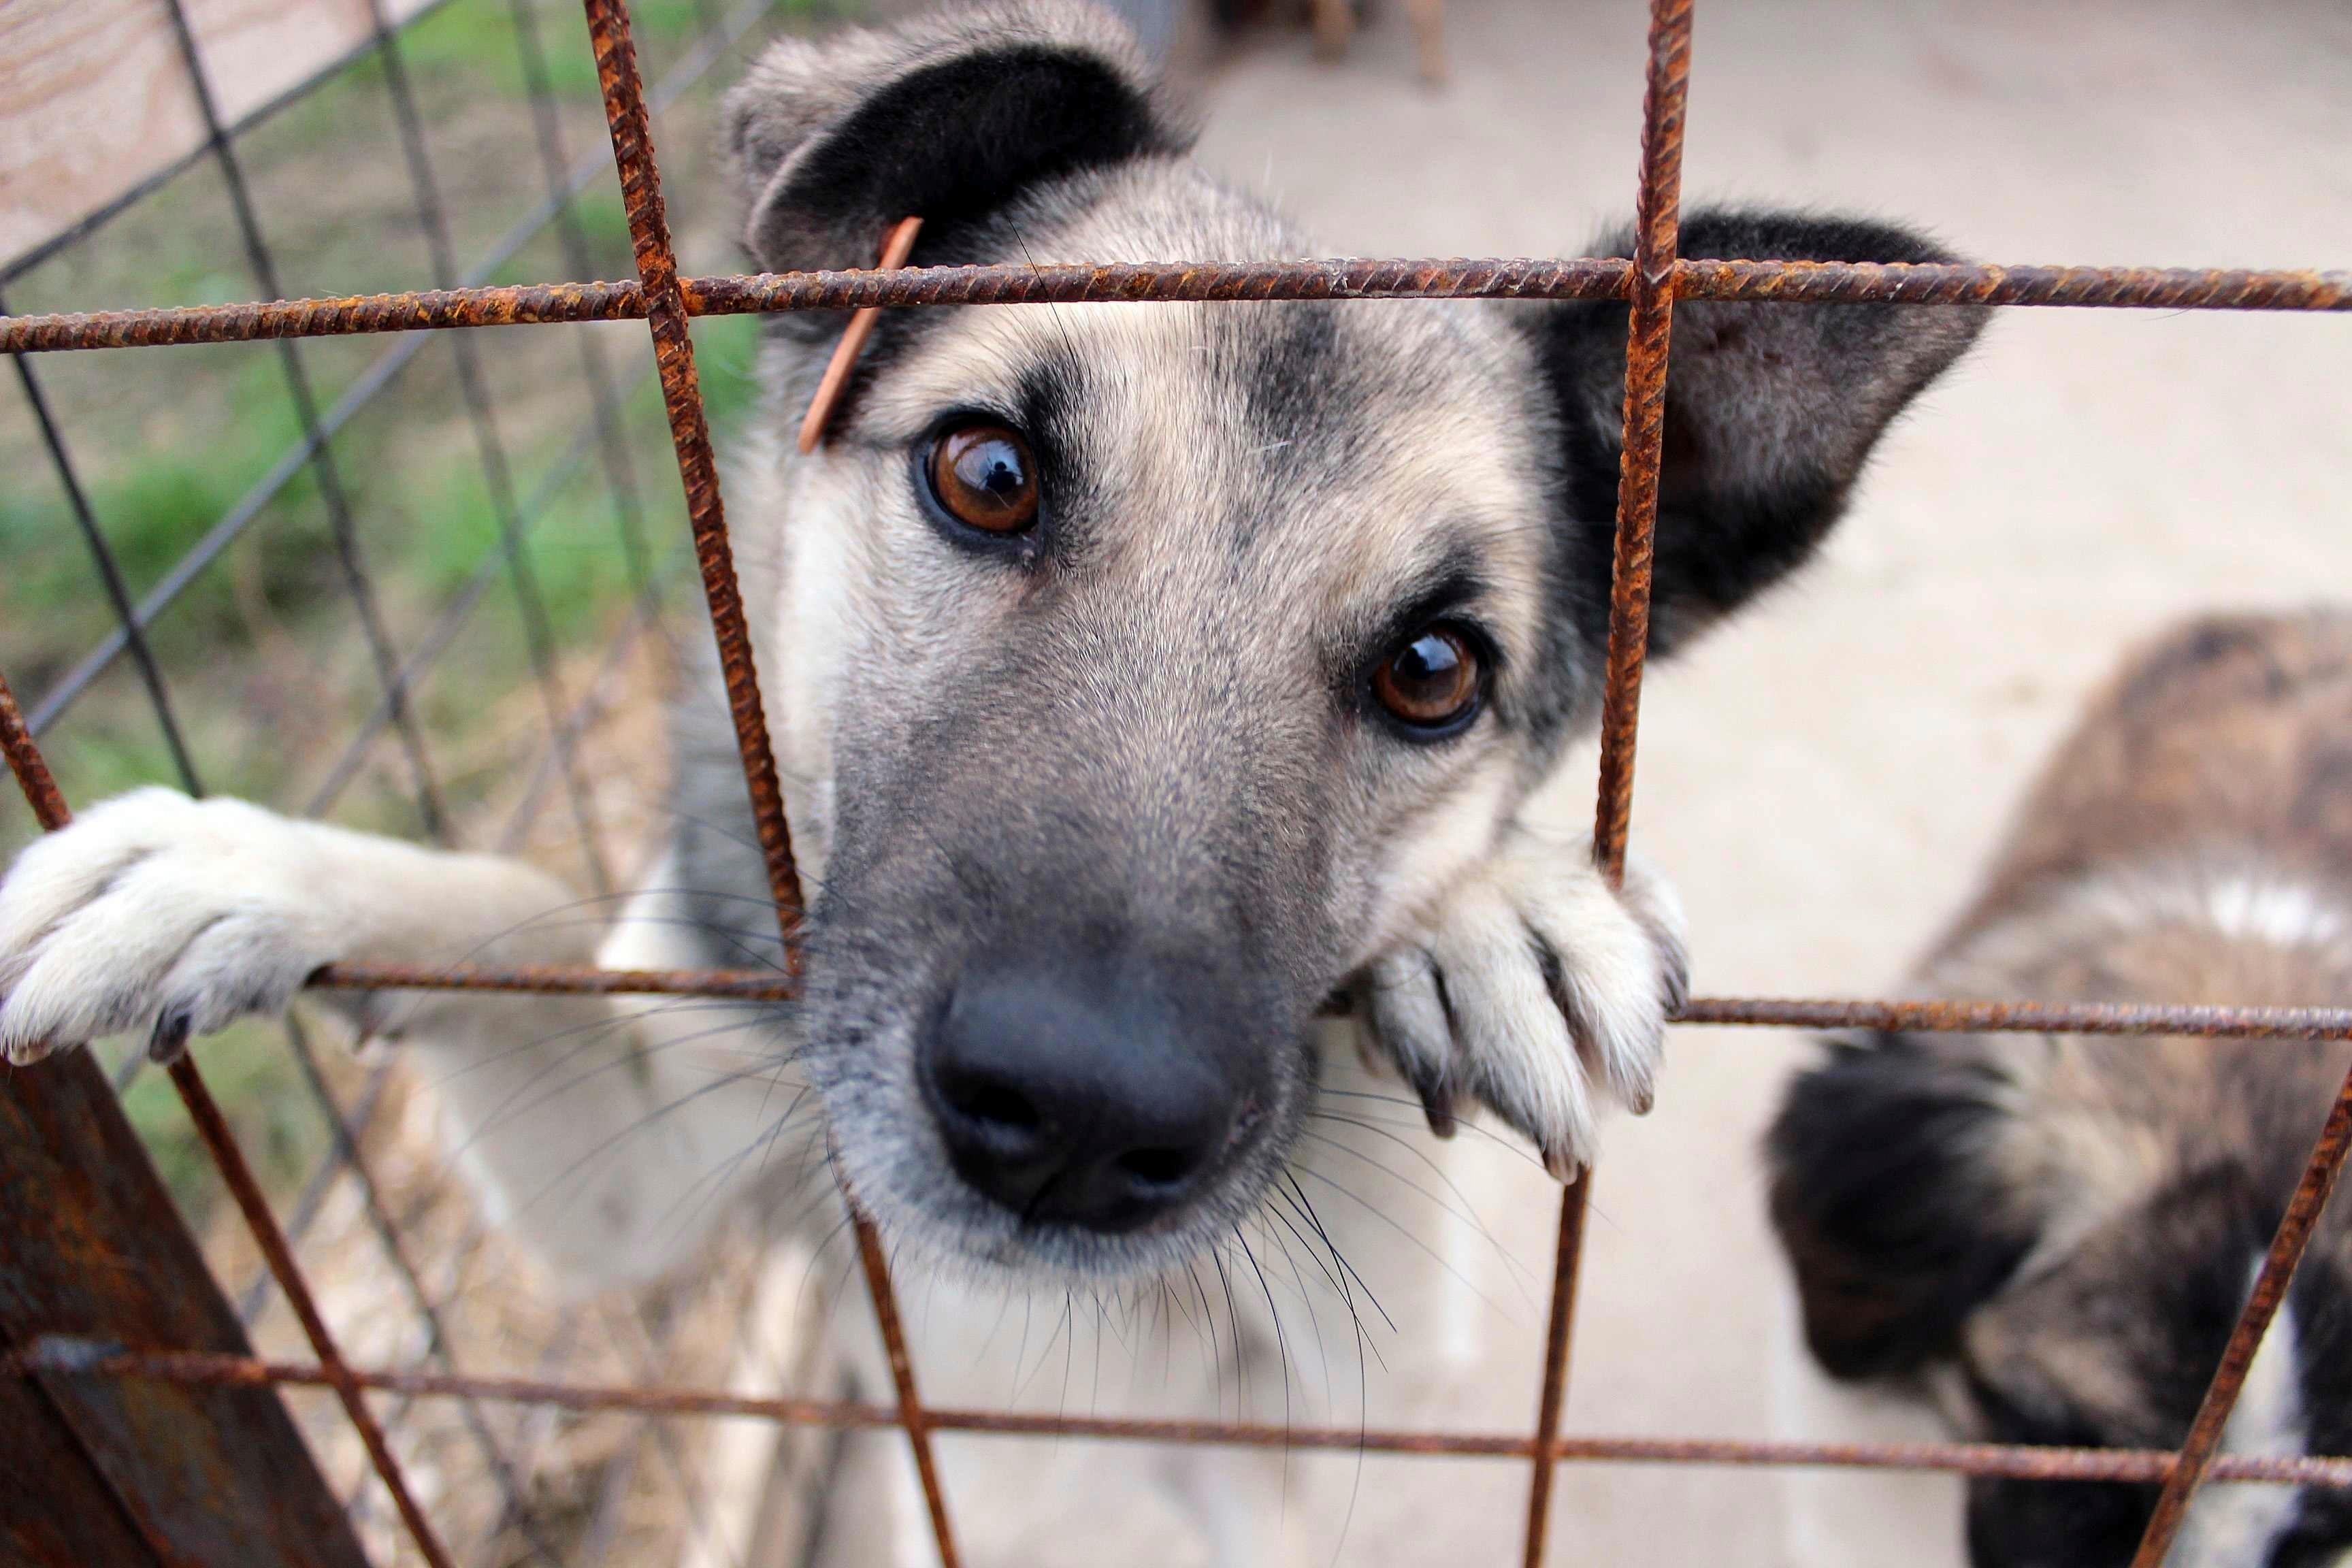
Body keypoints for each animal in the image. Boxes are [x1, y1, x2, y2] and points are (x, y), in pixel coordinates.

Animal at [4, 6, 1984, 1561]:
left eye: (1435, 671)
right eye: (985, 473)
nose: (1079, 1119)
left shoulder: (1338, 1375)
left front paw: (1496, 911)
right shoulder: (645, 1188)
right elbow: (515, 915)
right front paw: (240, 870)